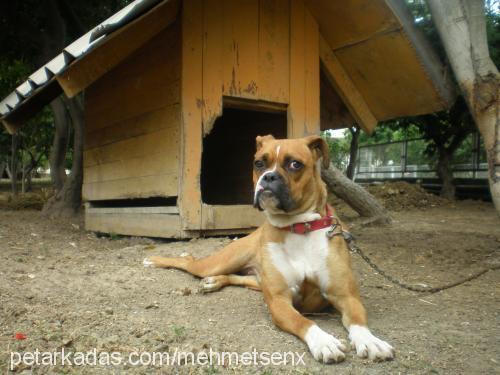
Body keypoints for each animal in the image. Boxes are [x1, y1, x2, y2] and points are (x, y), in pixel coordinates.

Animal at [144, 135, 394, 364]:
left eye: (295, 164)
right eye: (259, 164)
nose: (269, 176)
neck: (299, 227)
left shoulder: (346, 296)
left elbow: (358, 321)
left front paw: (370, 341)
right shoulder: (279, 300)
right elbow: (304, 321)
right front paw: (324, 341)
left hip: (254, 278)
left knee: (238, 278)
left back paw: (214, 281)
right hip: (219, 262)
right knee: (189, 262)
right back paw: (156, 260)